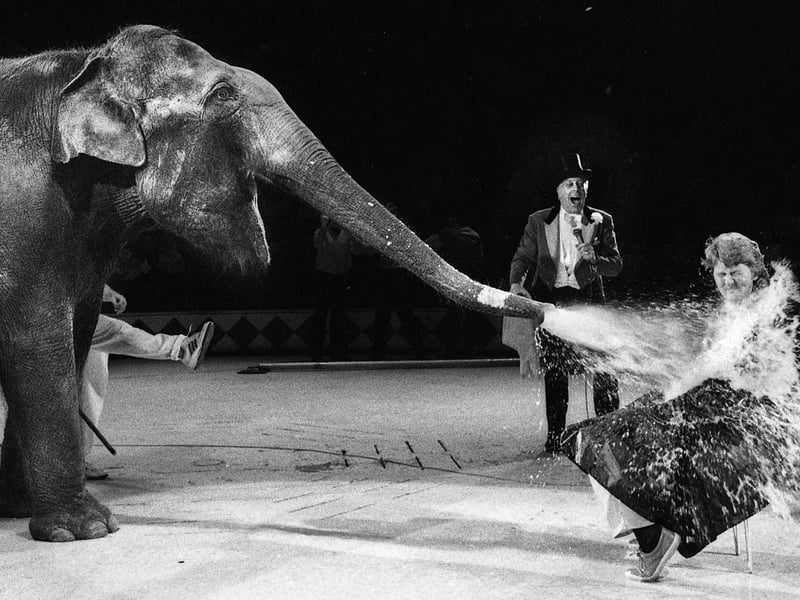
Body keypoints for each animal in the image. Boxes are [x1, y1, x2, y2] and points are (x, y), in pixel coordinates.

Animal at [0, 25, 548, 542]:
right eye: (224, 95)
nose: (542, 309)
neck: (86, 63)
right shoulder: (27, 218)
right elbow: (39, 339)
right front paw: (86, 529)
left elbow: (74, 335)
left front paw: (22, 510)